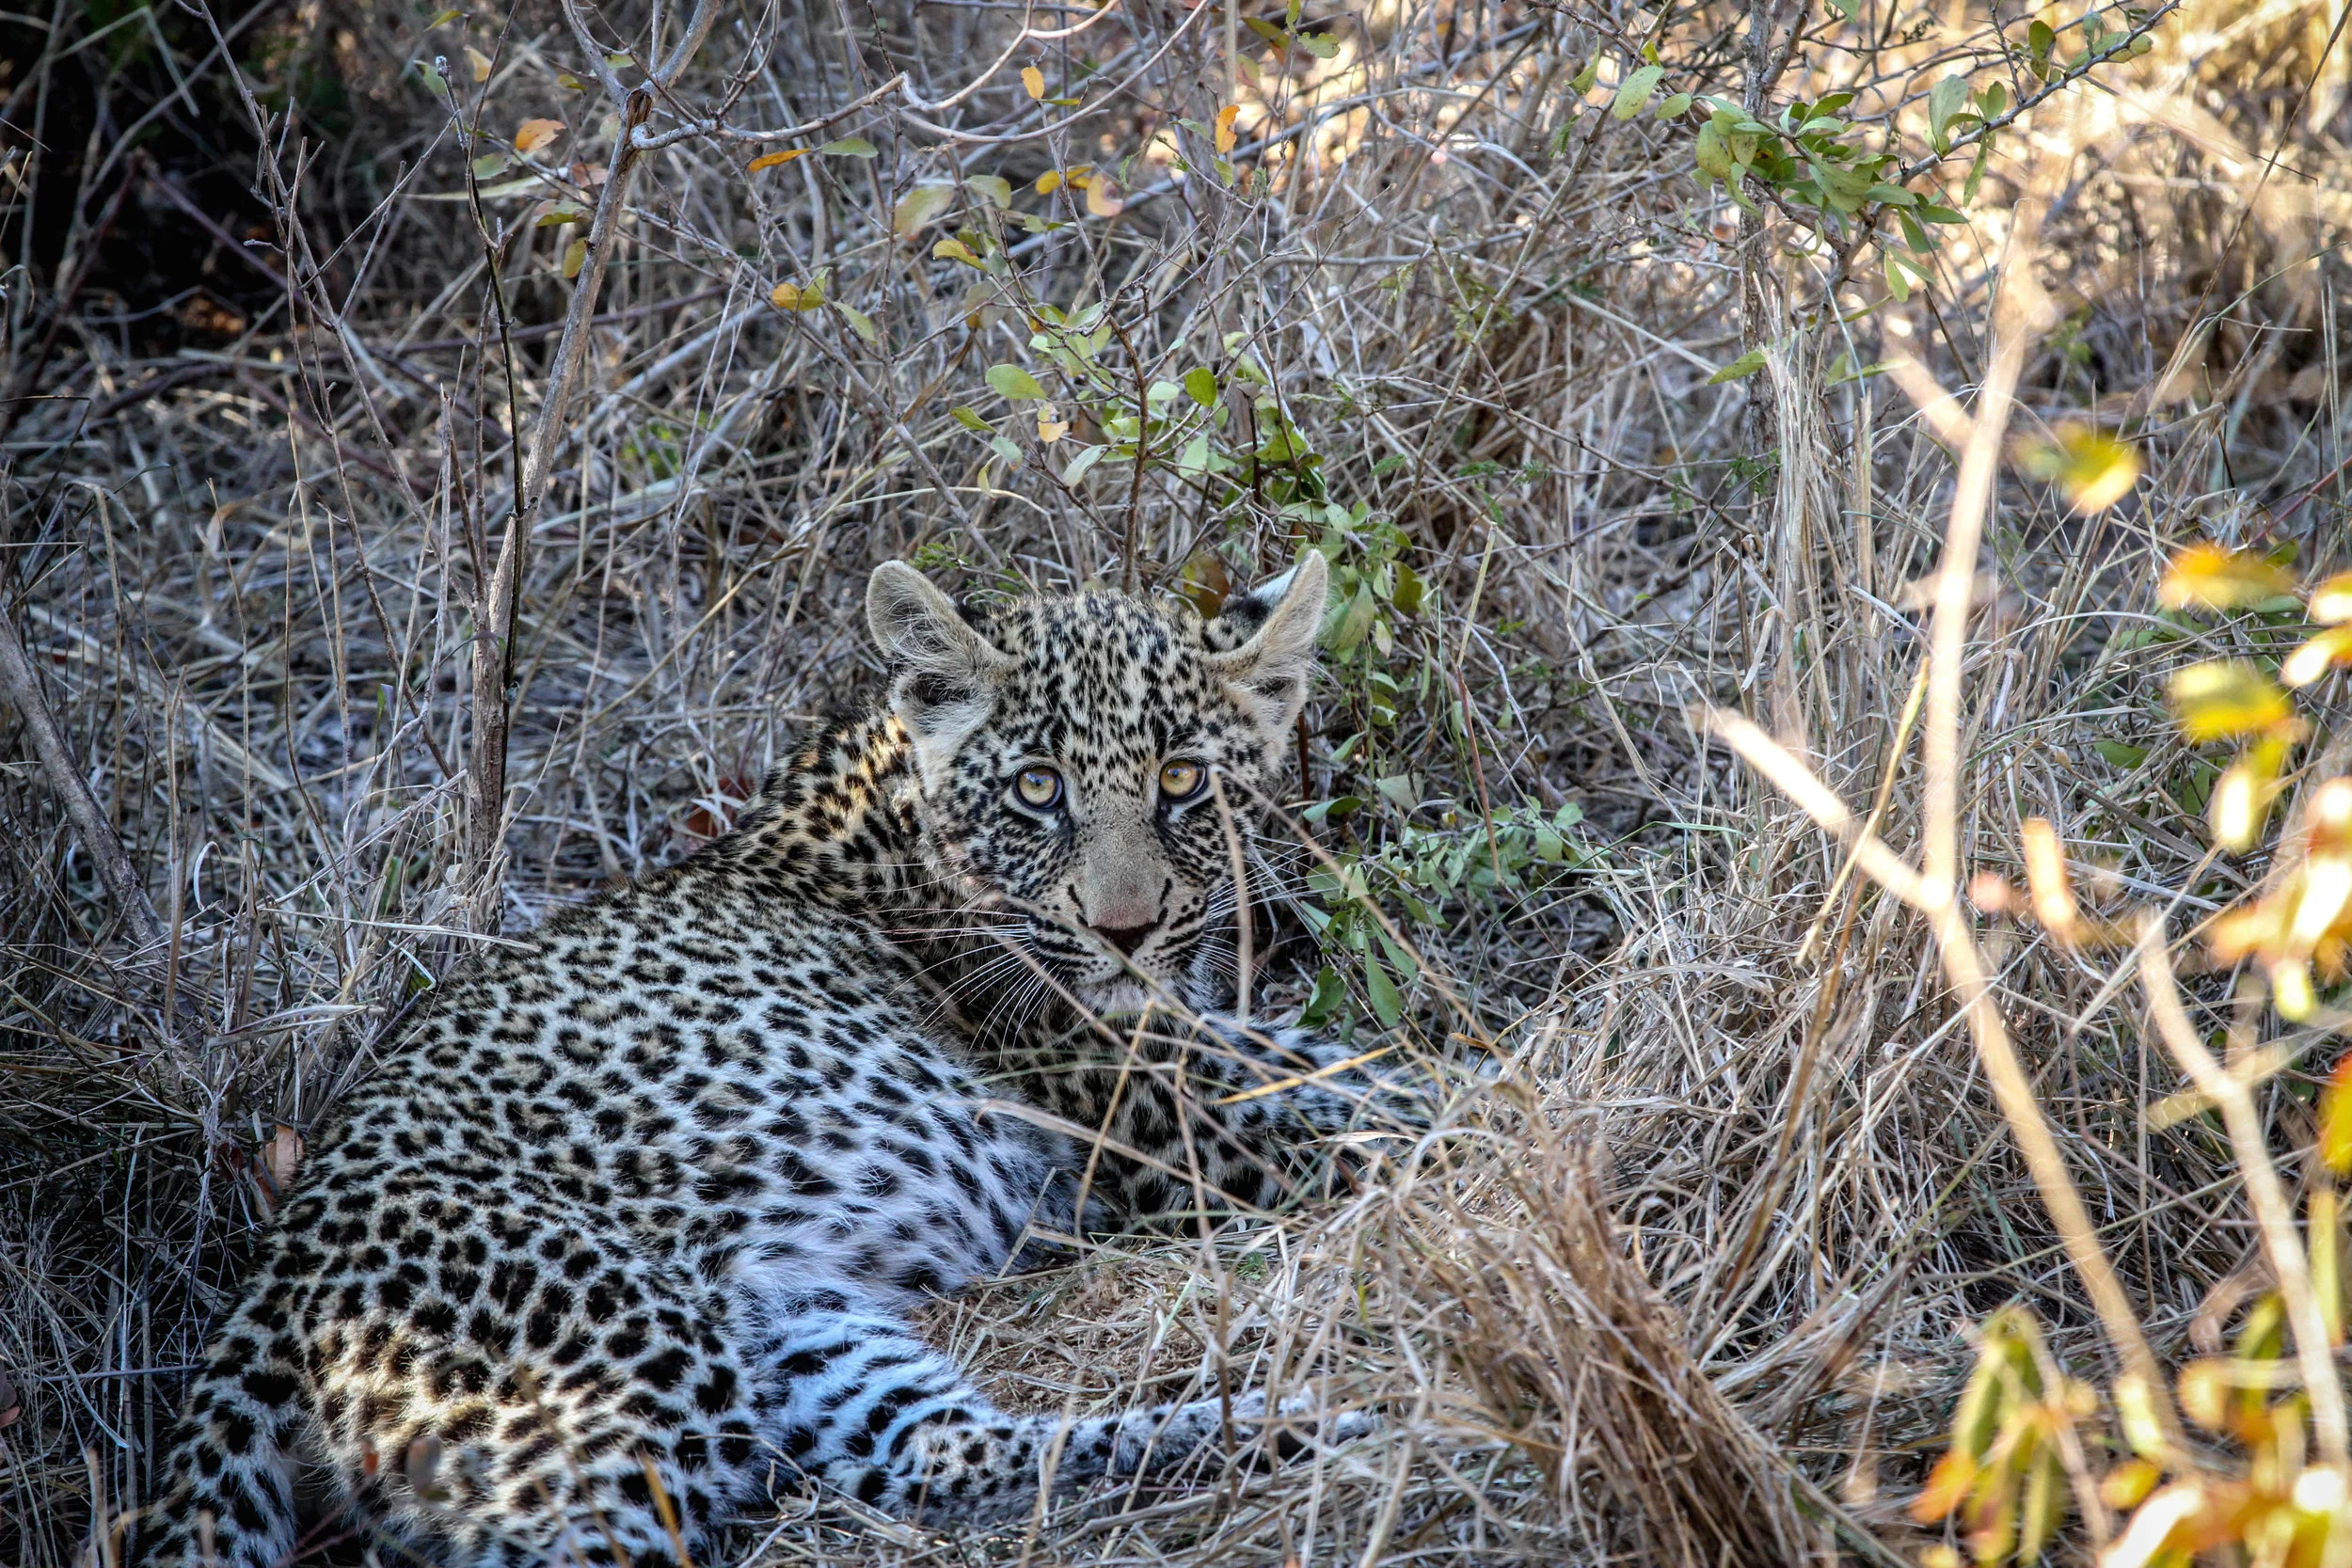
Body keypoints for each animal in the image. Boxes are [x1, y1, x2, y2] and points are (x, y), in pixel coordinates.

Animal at [125, 552, 1396, 1568]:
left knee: (939, 1454)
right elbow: (1384, 1102)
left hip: (803, 1322)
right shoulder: (1172, 1105)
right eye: (1039, 788)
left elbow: (1368, 1068)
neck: (898, 807)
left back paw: (1291, 1419)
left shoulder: (1203, 1047)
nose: (1123, 929)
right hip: (630, 1369)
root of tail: (273, 1280)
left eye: (1184, 779)